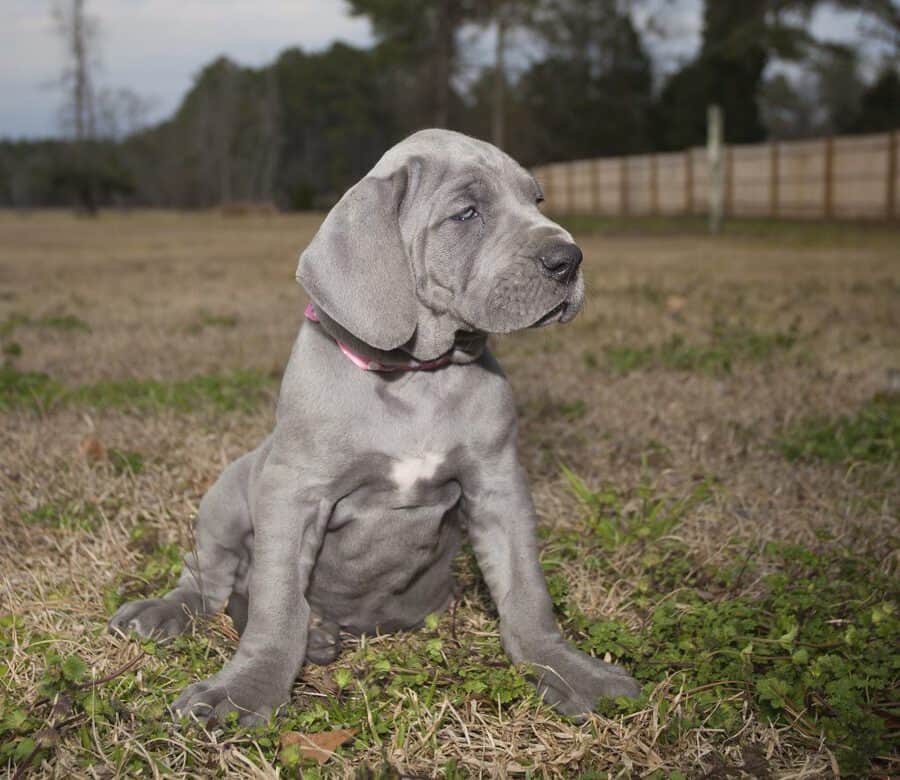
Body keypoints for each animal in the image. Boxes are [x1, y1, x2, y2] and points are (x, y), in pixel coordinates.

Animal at [109, 129, 640, 724]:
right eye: (466, 213)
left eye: (537, 200)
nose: (568, 259)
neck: (416, 379)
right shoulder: (293, 493)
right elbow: (277, 605)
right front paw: (246, 688)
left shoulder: (499, 485)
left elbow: (526, 591)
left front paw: (567, 668)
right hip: (226, 496)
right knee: (208, 580)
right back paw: (168, 613)